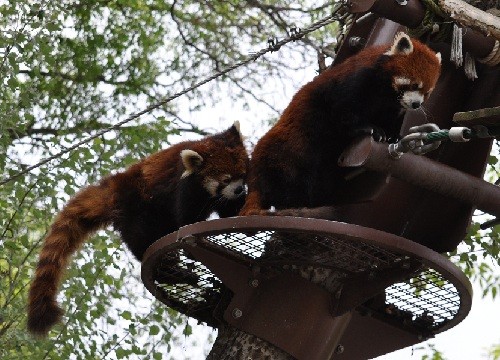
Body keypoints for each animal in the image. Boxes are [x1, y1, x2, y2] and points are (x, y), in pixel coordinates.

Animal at [27, 122, 248, 336]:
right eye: (225, 179)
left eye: (243, 174)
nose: (238, 189)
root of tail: (117, 183)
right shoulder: (185, 189)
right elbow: (186, 219)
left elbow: (230, 208)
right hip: (139, 210)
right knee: (144, 243)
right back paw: (178, 274)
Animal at [241, 32, 442, 215]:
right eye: (414, 85)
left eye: (427, 92)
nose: (416, 104)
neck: (386, 93)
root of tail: (255, 180)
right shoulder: (355, 82)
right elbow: (342, 113)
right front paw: (371, 129)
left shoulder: (390, 108)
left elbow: (389, 121)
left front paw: (393, 135)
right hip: (291, 151)